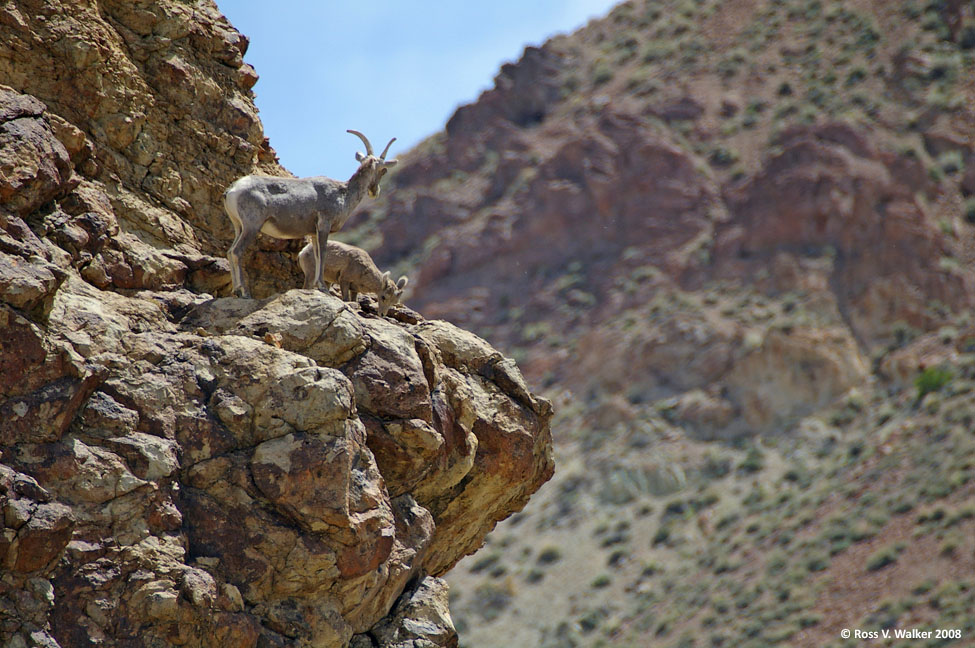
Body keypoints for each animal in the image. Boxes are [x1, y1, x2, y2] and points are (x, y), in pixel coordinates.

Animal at [222, 130, 397, 298]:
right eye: (383, 170)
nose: (375, 192)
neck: (343, 194)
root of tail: (232, 191)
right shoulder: (324, 225)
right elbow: (323, 253)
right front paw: (323, 287)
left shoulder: (313, 233)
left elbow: (318, 255)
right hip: (251, 226)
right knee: (237, 251)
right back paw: (244, 292)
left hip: (239, 226)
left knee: (230, 252)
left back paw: (236, 291)